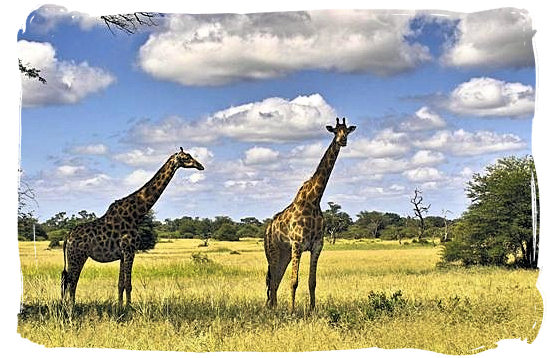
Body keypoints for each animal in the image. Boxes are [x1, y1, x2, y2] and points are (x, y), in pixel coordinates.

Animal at [61, 148, 207, 308]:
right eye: (187, 157)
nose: (200, 166)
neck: (136, 215)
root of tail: (67, 238)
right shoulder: (130, 250)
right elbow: (128, 284)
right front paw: (129, 308)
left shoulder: (122, 254)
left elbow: (120, 284)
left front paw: (120, 307)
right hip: (77, 256)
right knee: (71, 282)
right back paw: (71, 308)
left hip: (75, 257)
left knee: (67, 281)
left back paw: (67, 306)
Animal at [266, 117, 358, 310]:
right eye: (335, 131)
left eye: (347, 131)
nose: (342, 140)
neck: (314, 200)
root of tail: (267, 229)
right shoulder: (297, 244)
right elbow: (294, 281)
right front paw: (292, 311)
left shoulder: (317, 245)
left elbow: (312, 282)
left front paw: (312, 310)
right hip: (273, 251)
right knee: (272, 280)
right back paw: (272, 308)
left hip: (284, 253)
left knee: (275, 280)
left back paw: (274, 308)